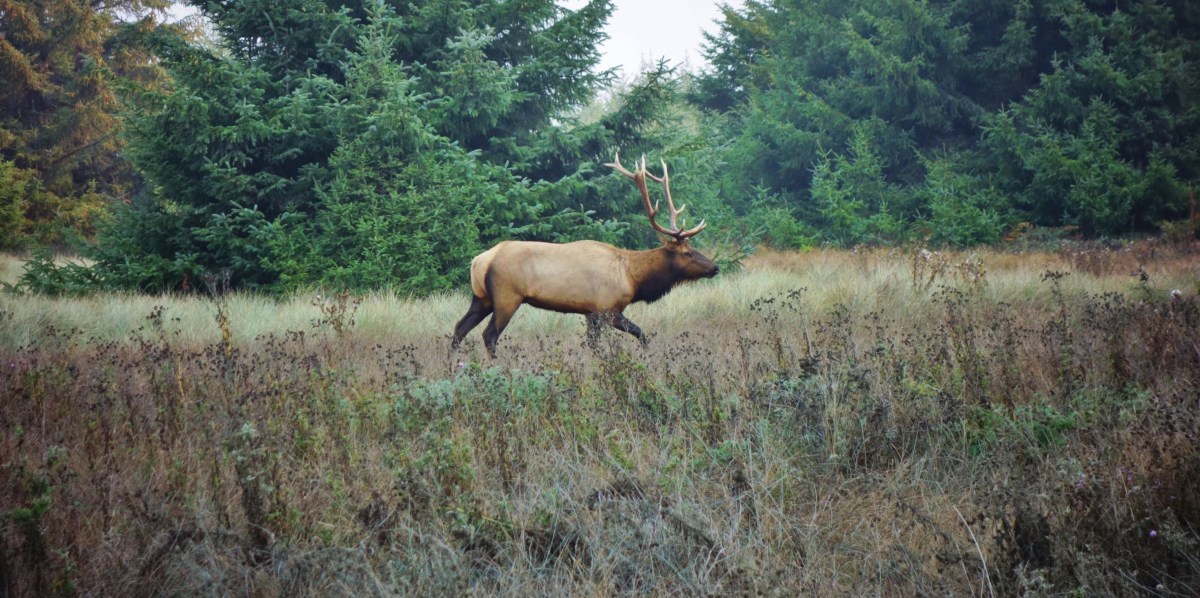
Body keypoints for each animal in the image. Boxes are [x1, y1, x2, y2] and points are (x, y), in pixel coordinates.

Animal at [451, 153, 719, 357]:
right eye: (687, 252)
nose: (715, 267)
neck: (632, 277)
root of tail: (479, 261)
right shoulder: (607, 308)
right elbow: (641, 335)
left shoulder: (590, 313)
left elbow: (593, 345)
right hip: (507, 296)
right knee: (489, 334)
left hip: (481, 298)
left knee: (459, 329)